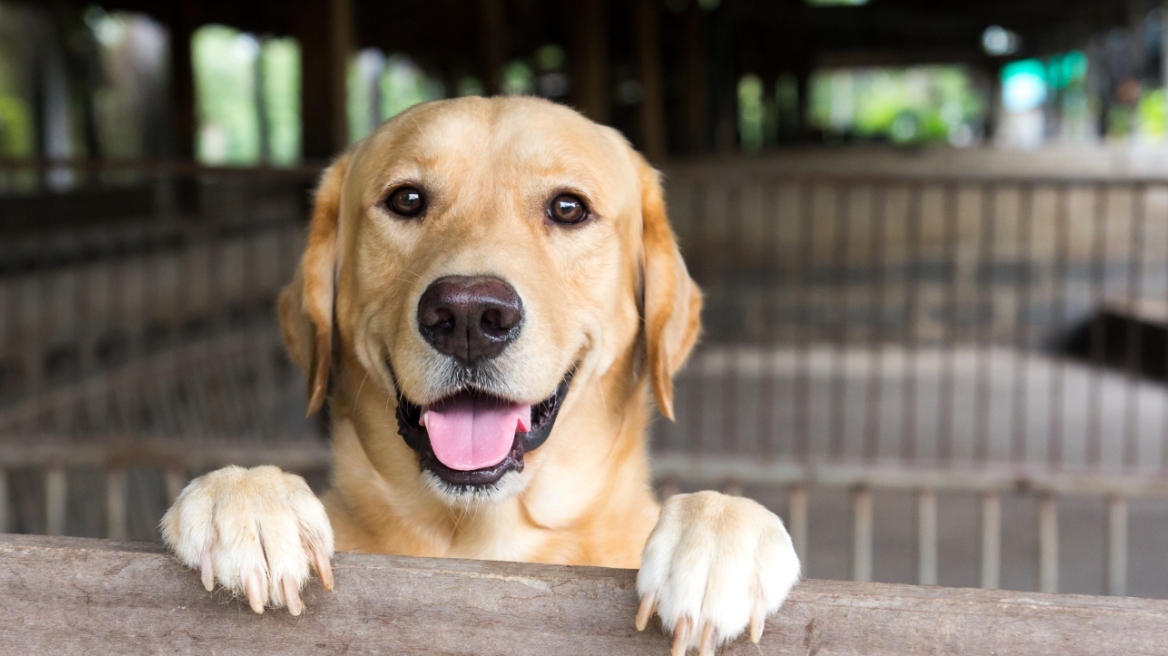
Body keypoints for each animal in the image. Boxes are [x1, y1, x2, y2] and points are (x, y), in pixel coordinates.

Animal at [162, 94, 803, 648]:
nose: (469, 316)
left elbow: (722, 512)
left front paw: (718, 540)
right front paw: (248, 498)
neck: (483, 537)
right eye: (407, 200)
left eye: (568, 207)